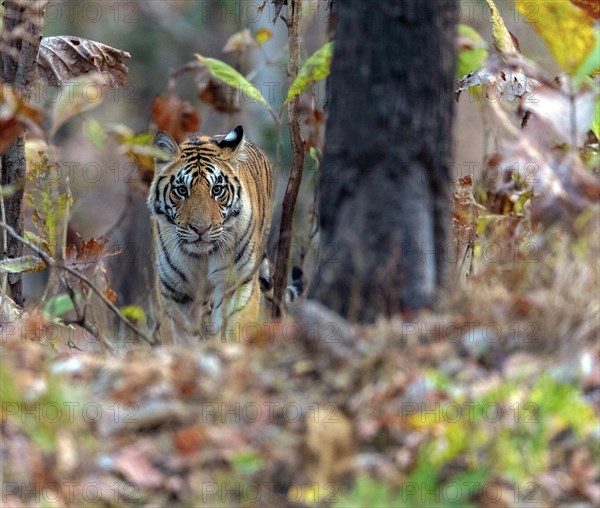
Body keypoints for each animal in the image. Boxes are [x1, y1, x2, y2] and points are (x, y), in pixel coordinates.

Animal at [148, 125, 274, 344]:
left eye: (217, 190)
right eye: (182, 190)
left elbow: (235, 329)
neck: (202, 256)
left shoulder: (237, 283)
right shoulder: (174, 292)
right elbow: (178, 338)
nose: (201, 228)